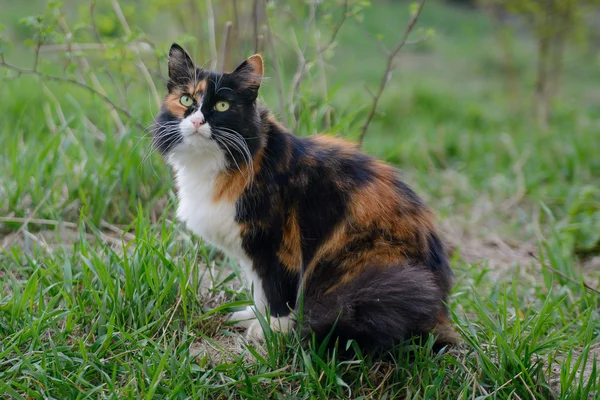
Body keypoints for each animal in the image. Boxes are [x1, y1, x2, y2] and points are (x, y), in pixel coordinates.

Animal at [152, 43, 458, 350]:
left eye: (222, 106)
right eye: (186, 99)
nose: (197, 120)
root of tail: (440, 308)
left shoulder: (276, 242)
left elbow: (276, 289)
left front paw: (273, 329)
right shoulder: (252, 251)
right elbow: (259, 289)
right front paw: (254, 316)